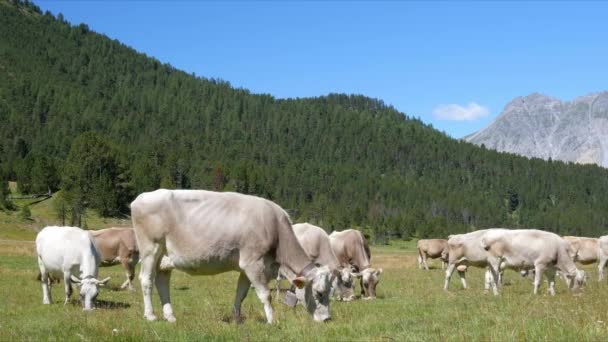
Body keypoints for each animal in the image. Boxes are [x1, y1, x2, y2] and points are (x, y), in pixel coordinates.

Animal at [131, 190, 334, 324]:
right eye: (319, 292)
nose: (327, 319)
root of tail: (140, 198)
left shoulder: (246, 267)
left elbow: (241, 293)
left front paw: (236, 318)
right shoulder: (253, 263)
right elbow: (265, 294)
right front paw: (271, 320)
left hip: (165, 257)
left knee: (162, 282)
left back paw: (170, 316)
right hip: (150, 249)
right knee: (146, 280)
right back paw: (150, 315)